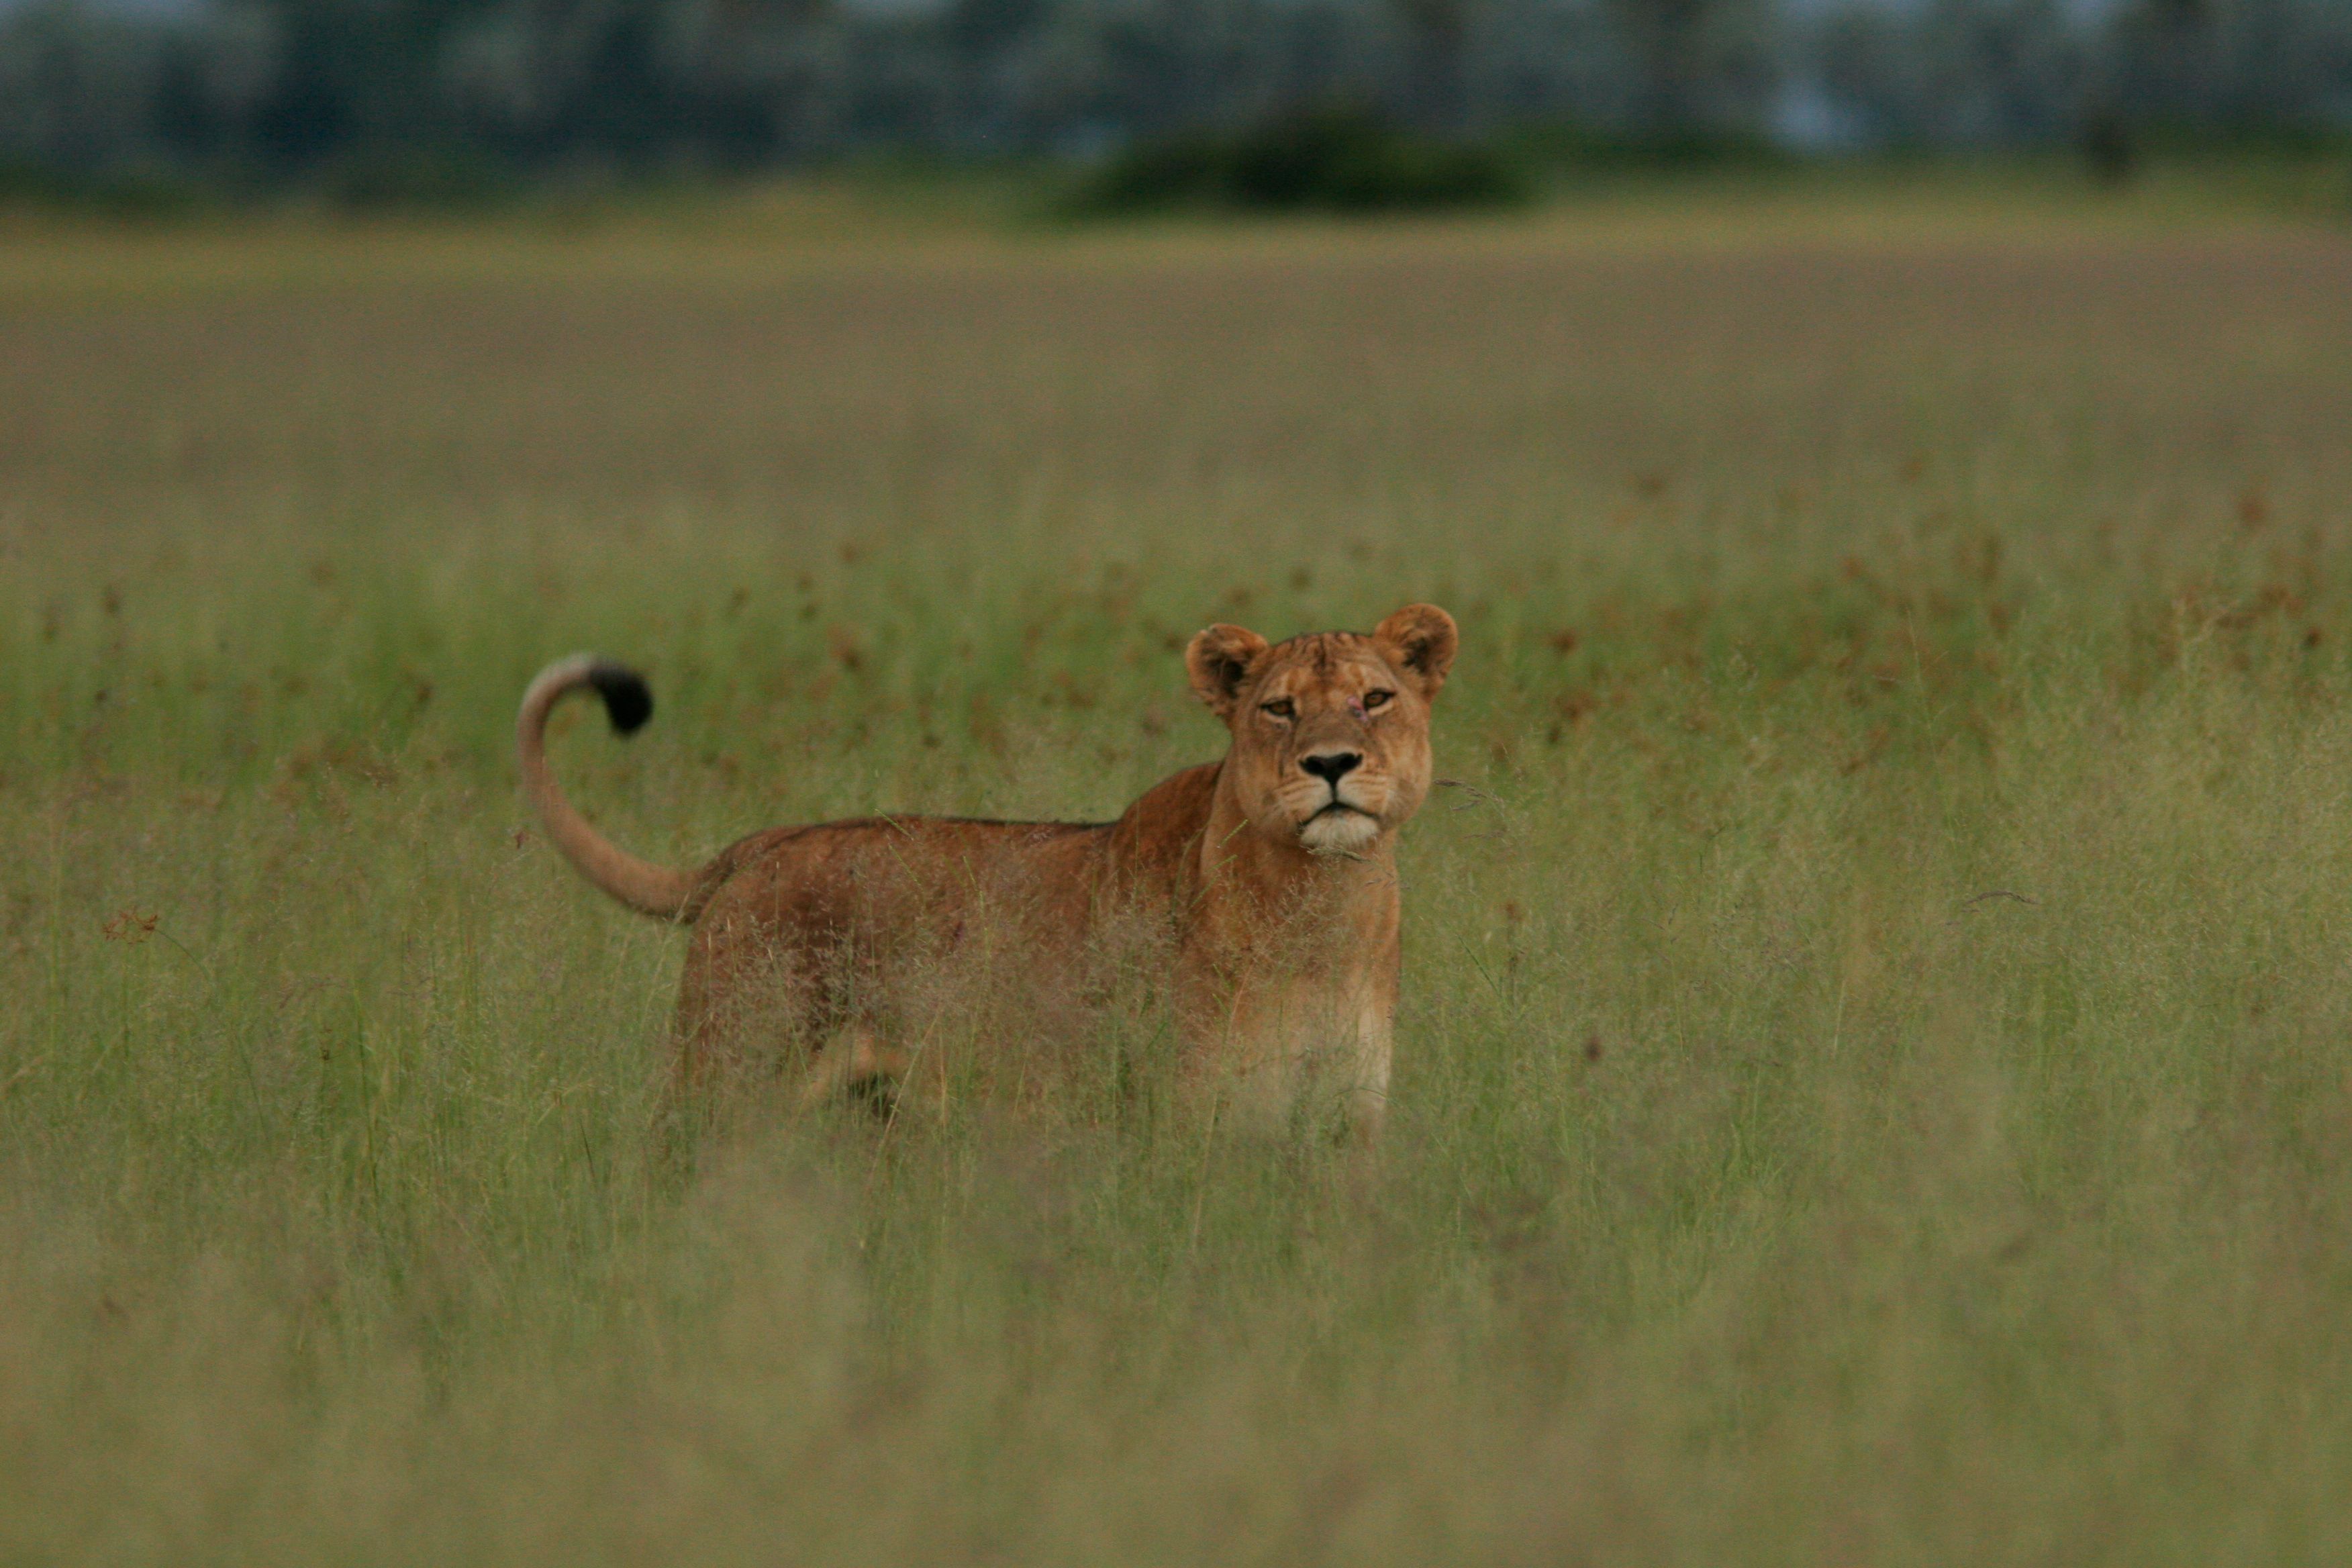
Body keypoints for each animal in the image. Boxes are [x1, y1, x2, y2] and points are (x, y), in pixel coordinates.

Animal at [515, 603, 1458, 1140]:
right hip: (727, 1075)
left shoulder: (1347, 1123)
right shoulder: (1190, 1116)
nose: (1330, 763)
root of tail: (765, 843)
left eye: (1376, 699)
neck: (1322, 906)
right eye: (1278, 708)